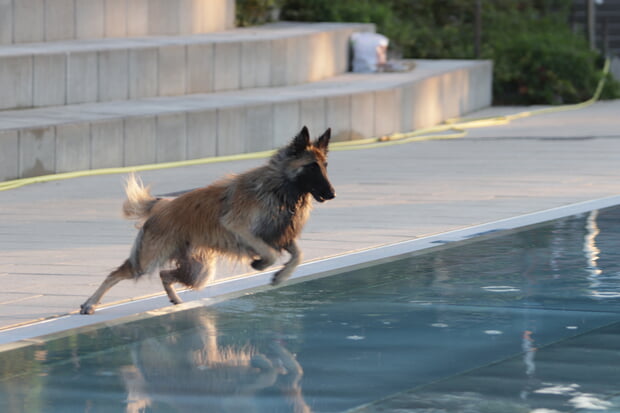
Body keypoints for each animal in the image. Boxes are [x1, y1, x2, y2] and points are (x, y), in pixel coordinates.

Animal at [81, 124, 336, 312]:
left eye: (325, 165)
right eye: (312, 167)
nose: (333, 194)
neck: (280, 188)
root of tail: (162, 206)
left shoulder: (279, 234)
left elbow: (298, 255)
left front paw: (281, 275)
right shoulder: (240, 228)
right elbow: (271, 253)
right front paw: (261, 263)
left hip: (199, 271)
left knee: (165, 274)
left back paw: (175, 300)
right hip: (148, 261)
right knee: (116, 274)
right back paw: (90, 304)